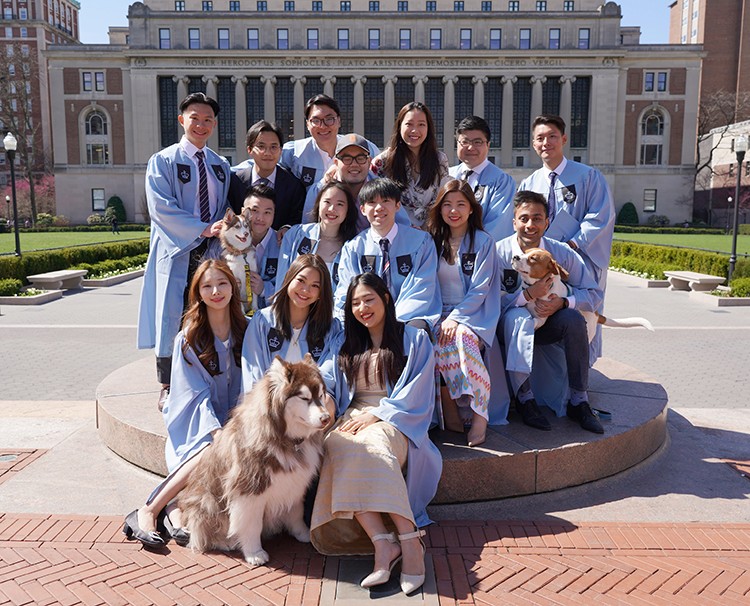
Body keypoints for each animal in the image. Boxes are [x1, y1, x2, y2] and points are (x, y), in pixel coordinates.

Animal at [179, 354, 332, 568]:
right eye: (304, 398)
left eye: (321, 394)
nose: (326, 418)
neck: (287, 439)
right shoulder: (249, 491)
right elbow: (251, 525)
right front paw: (254, 553)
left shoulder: (293, 485)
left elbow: (296, 513)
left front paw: (302, 533)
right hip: (207, 502)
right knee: (201, 534)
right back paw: (225, 542)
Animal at [512, 247, 652, 342]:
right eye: (524, 252)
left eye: (533, 258)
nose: (515, 256)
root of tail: (596, 314)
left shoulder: (541, 317)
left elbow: (535, 320)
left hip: (588, 332)